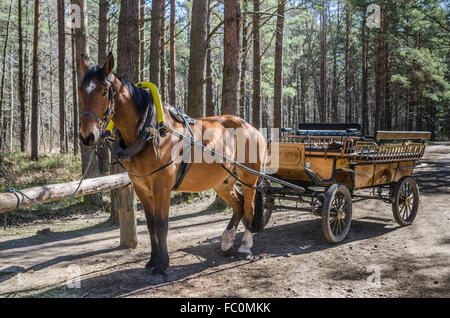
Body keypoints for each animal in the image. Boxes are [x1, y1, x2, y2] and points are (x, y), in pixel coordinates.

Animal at [78, 52, 266, 276]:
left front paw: (162, 264)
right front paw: (152, 260)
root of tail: (252, 127)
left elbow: (161, 225)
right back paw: (227, 241)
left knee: (249, 207)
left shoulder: (162, 187)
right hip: (224, 180)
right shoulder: (142, 188)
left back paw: (245, 246)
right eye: (80, 90)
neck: (149, 130)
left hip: (249, 178)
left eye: (105, 91)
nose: (87, 136)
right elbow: (151, 225)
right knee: (238, 204)